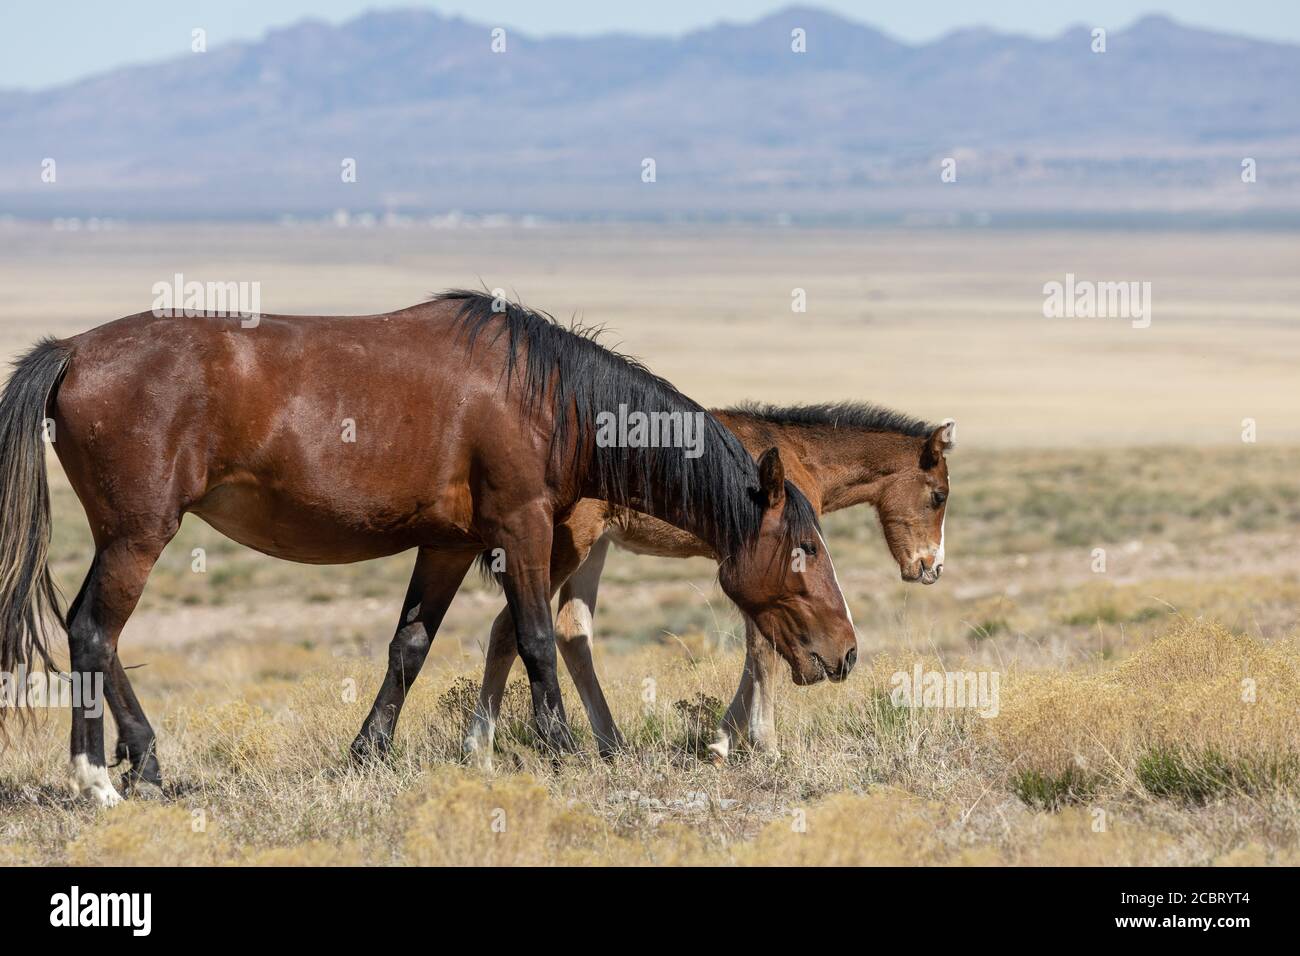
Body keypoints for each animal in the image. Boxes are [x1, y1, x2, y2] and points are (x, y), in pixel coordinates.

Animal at [0, 290, 858, 806]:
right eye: (805, 548)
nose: (845, 653)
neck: (549, 396)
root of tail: (74, 349)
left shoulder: (446, 547)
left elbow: (409, 647)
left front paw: (368, 752)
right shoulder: (521, 529)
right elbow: (537, 638)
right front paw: (562, 746)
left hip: (127, 537)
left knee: (96, 637)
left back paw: (144, 758)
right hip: (138, 536)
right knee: (93, 631)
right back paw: (96, 776)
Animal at [464, 402, 954, 764]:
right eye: (939, 495)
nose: (931, 567)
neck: (801, 457)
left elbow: (760, 649)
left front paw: (724, 740)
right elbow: (762, 652)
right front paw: (758, 743)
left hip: (593, 548)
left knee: (571, 632)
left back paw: (610, 744)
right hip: (570, 545)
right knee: (508, 627)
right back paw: (480, 749)